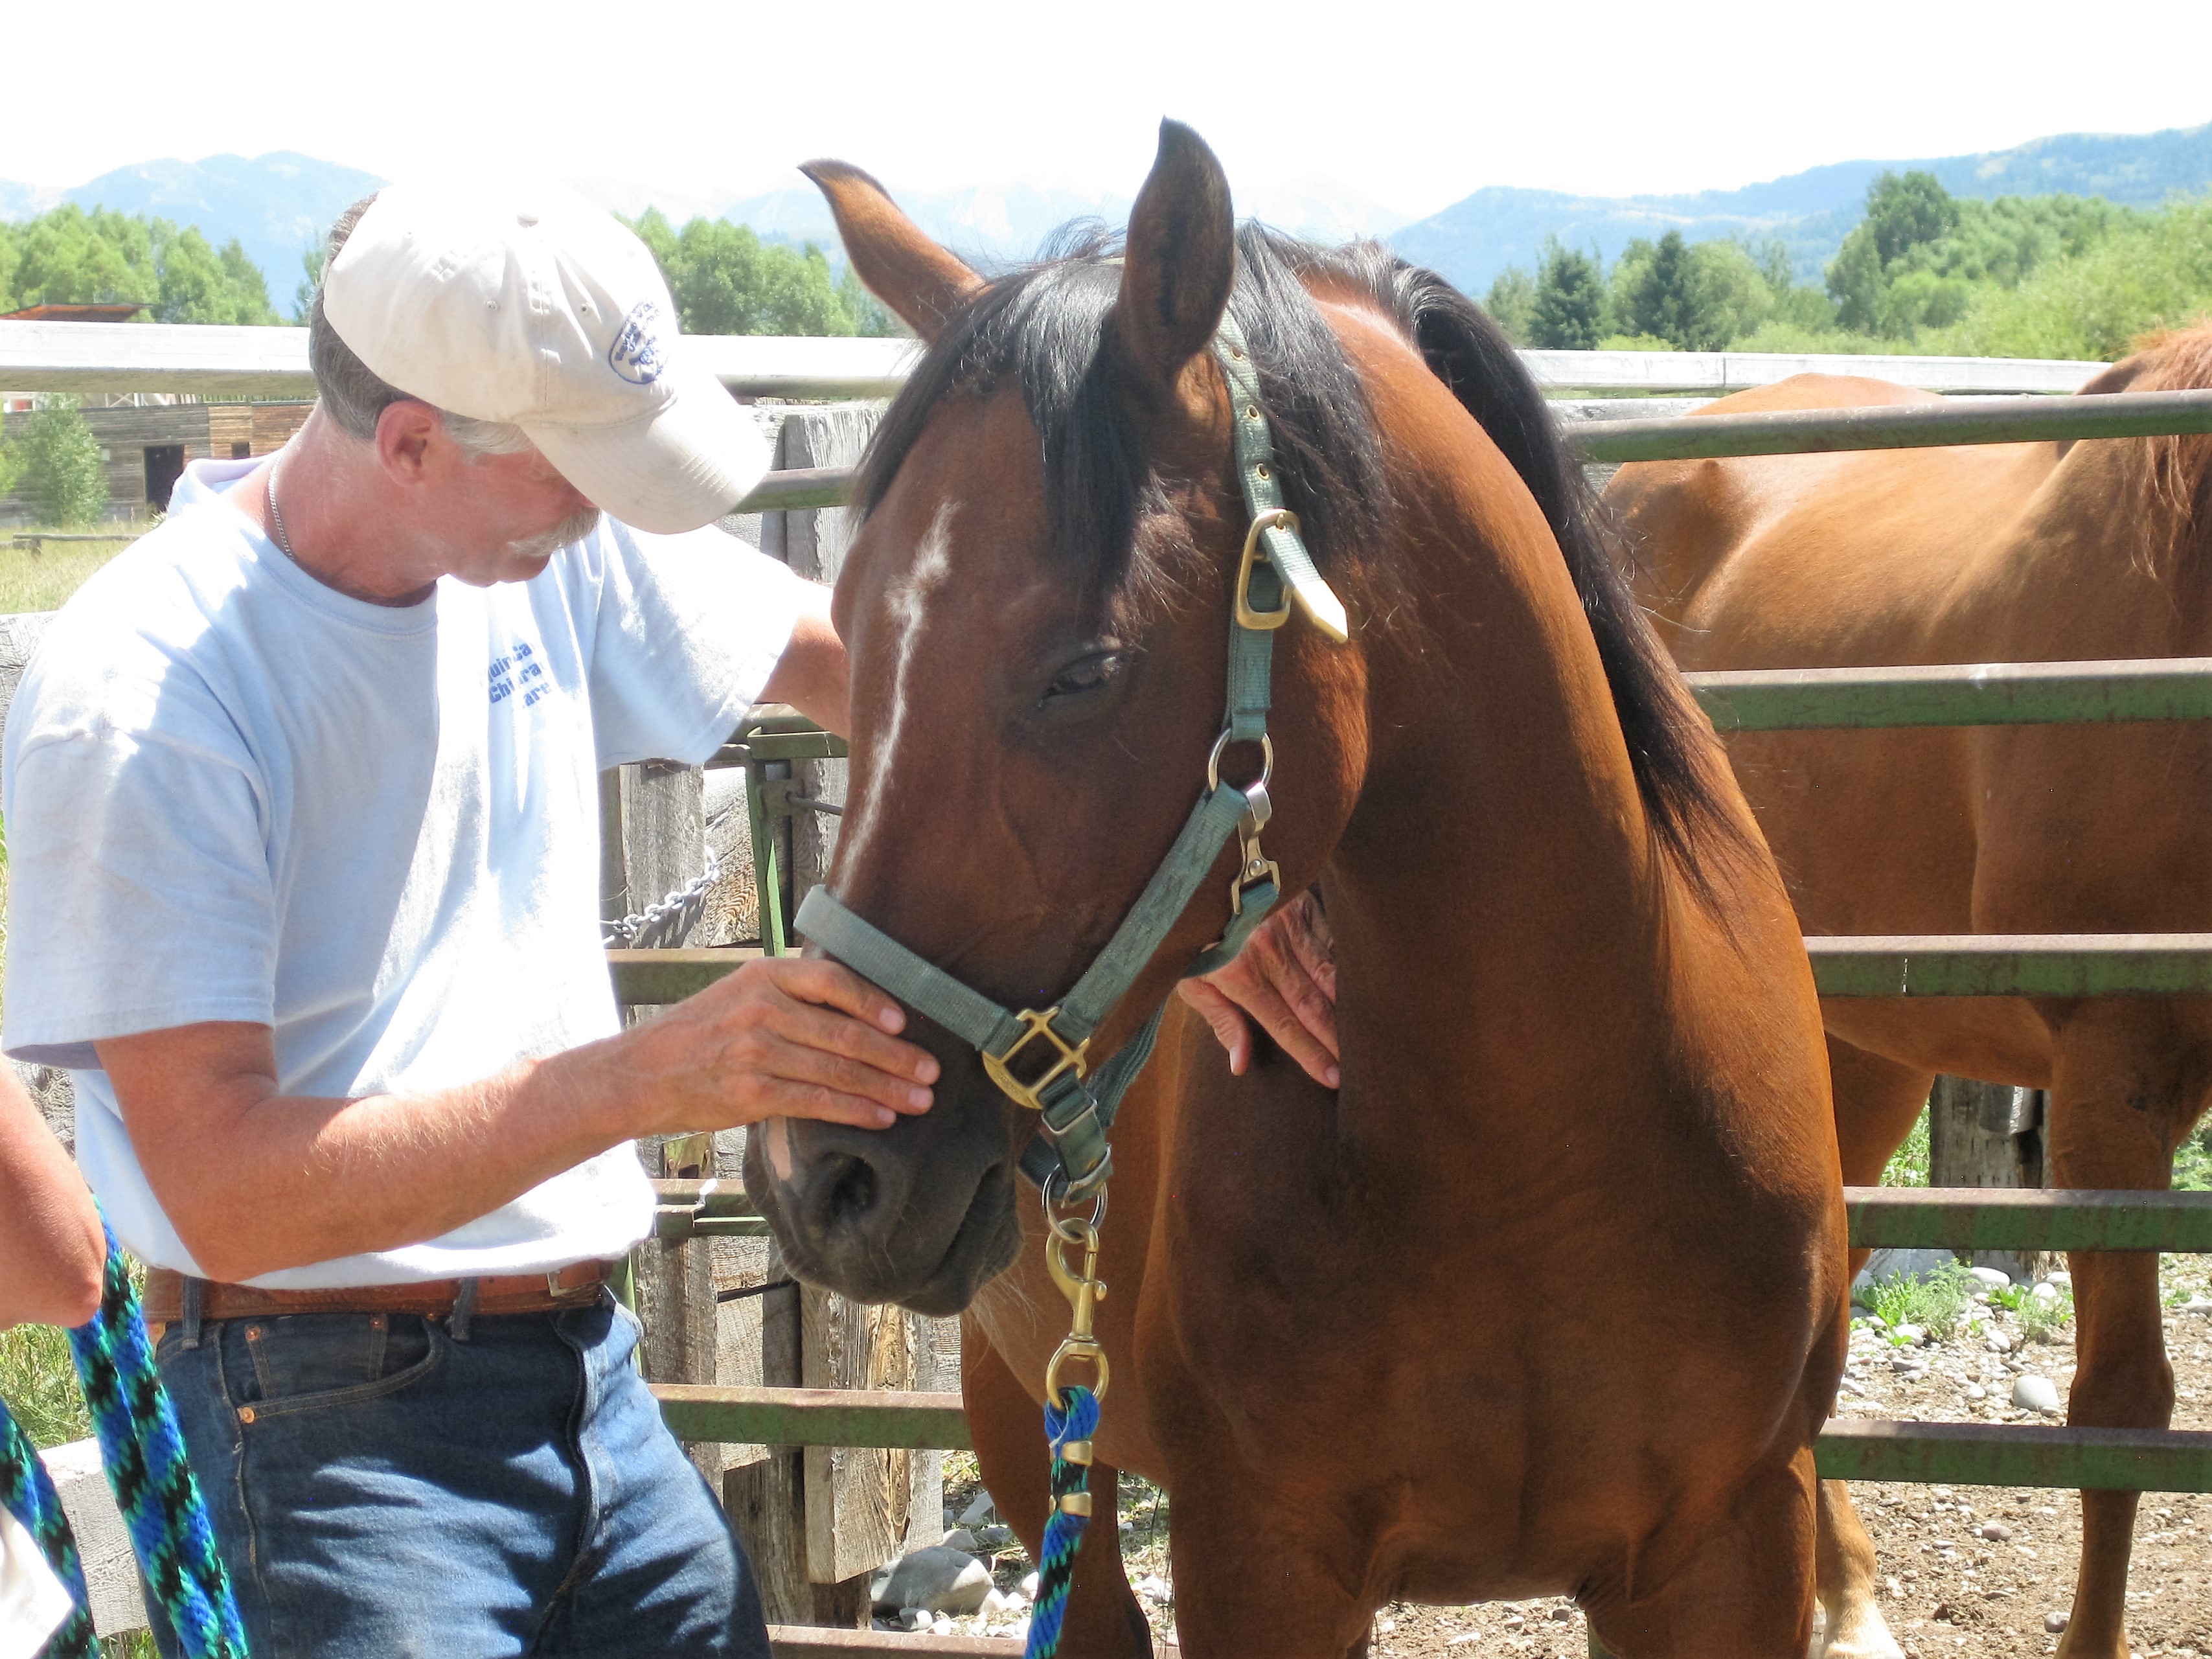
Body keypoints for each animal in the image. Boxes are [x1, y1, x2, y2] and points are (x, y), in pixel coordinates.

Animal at [743, 120, 1849, 1659]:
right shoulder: (1260, 1557)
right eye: (846, 632)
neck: (1549, 1149)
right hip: (1031, 1422)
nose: (820, 1176)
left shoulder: (1734, 1542)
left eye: (1084, 667)